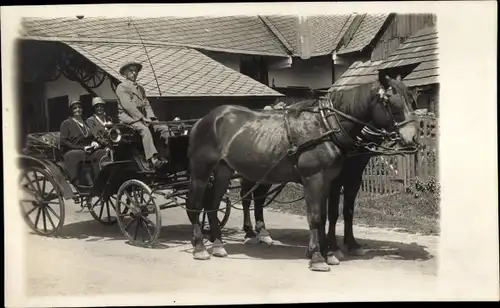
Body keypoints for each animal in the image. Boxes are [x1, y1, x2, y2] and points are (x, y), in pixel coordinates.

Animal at [186, 73, 416, 272]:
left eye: (412, 101)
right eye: (393, 104)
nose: (412, 138)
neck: (325, 125)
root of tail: (204, 120)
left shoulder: (330, 180)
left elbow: (327, 216)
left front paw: (328, 252)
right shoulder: (314, 178)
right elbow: (316, 217)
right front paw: (318, 257)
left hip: (224, 172)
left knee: (214, 204)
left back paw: (218, 244)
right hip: (202, 172)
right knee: (197, 205)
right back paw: (201, 246)